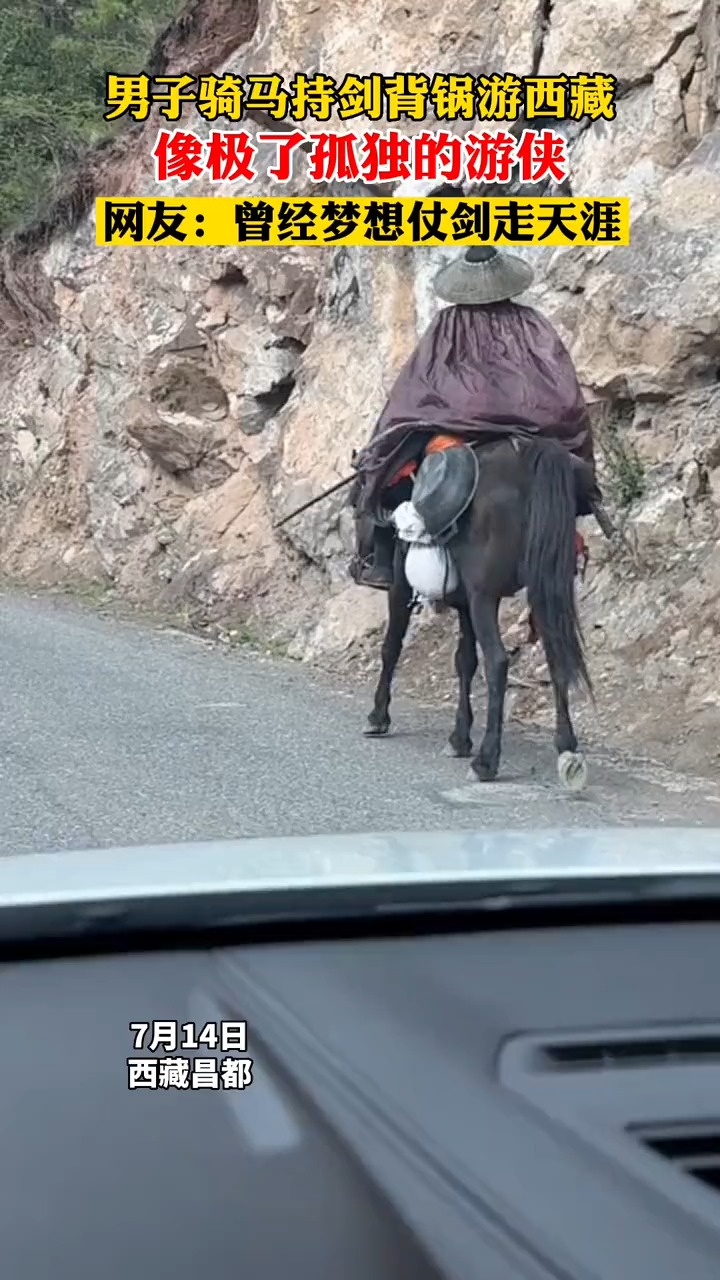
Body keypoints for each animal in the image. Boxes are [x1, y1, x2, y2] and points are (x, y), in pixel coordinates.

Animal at [356, 435, 589, 783]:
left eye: (356, 504)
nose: (360, 565)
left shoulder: (403, 589)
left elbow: (391, 647)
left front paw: (377, 716)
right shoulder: (466, 603)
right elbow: (464, 661)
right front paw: (459, 738)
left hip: (485, 597)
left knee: (498, 662)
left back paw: (486, 761)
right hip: (542, 589)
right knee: (556, 656)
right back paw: (566, 746)